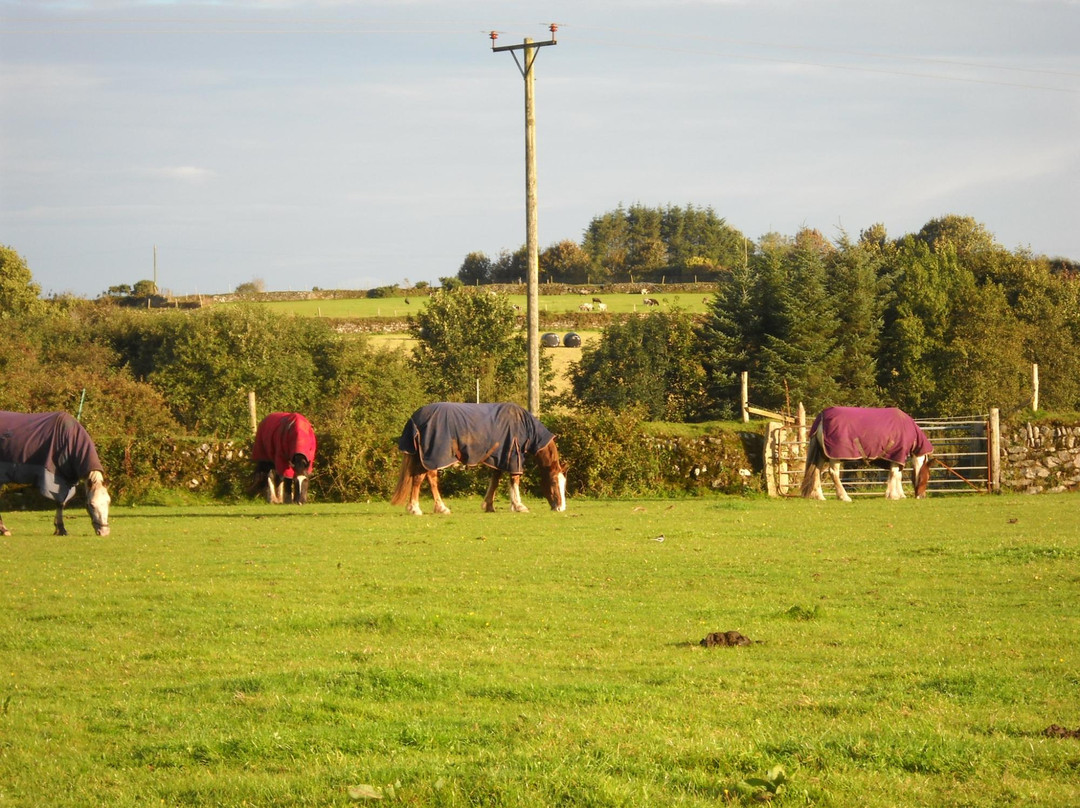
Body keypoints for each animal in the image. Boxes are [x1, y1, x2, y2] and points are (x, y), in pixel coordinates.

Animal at [393, 401, 570, 514]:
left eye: (564, 484)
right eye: (553, 482)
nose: (561, 508)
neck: (522, 424)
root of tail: (416, 418)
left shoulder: (500, 458)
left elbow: (495, 480)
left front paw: (489, 505)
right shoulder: (514, 457)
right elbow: (514, 480)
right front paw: (519, 506)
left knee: (423, 478)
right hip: (433, 456)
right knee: (425, 478)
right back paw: (430, 508)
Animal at [799, 406, 933, 501]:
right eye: (928, 476)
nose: (922, 496)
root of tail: (821, 419)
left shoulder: (894, 458)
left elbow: (897, 475)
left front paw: (899, 495)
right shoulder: (897, 456)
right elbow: (894, 474)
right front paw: (892, 495)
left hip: (822, 455)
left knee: (817, 471)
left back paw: (820, 496)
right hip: (834, 457)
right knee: (833, 473)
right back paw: (844, 496)